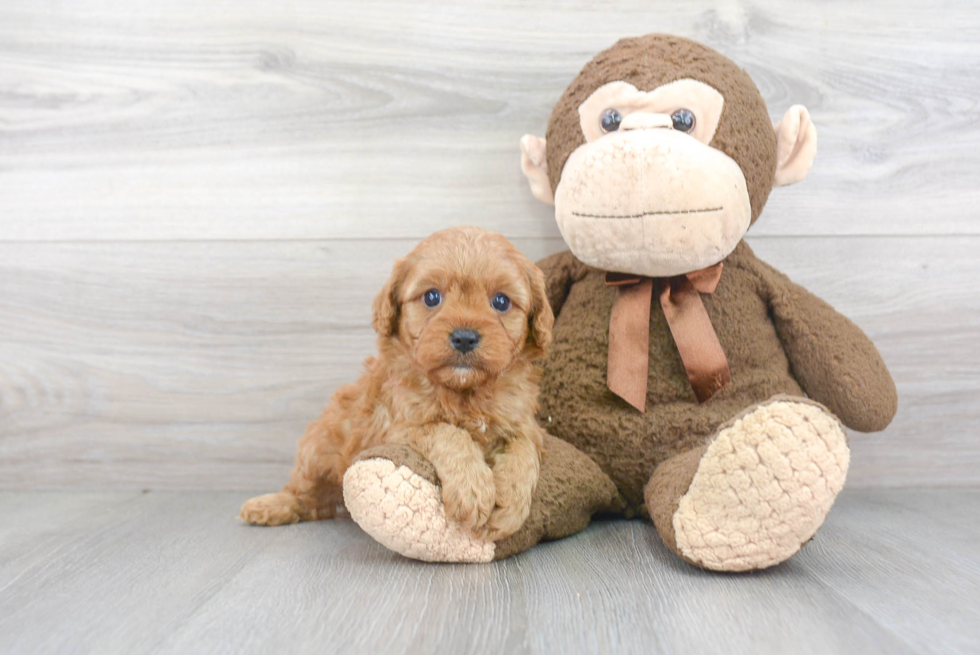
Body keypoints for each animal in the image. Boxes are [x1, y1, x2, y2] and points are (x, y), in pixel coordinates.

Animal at [239, 228, 552, 540]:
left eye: (501, 301)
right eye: (432, 297)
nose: (464, 337)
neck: (463, 391)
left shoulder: (524, 423)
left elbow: (524, 450)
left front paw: (510, 506)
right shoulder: (397, 428)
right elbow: (448, 433)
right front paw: (472, 489)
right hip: (318, 446)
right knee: (307, 495)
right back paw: (271, 506)